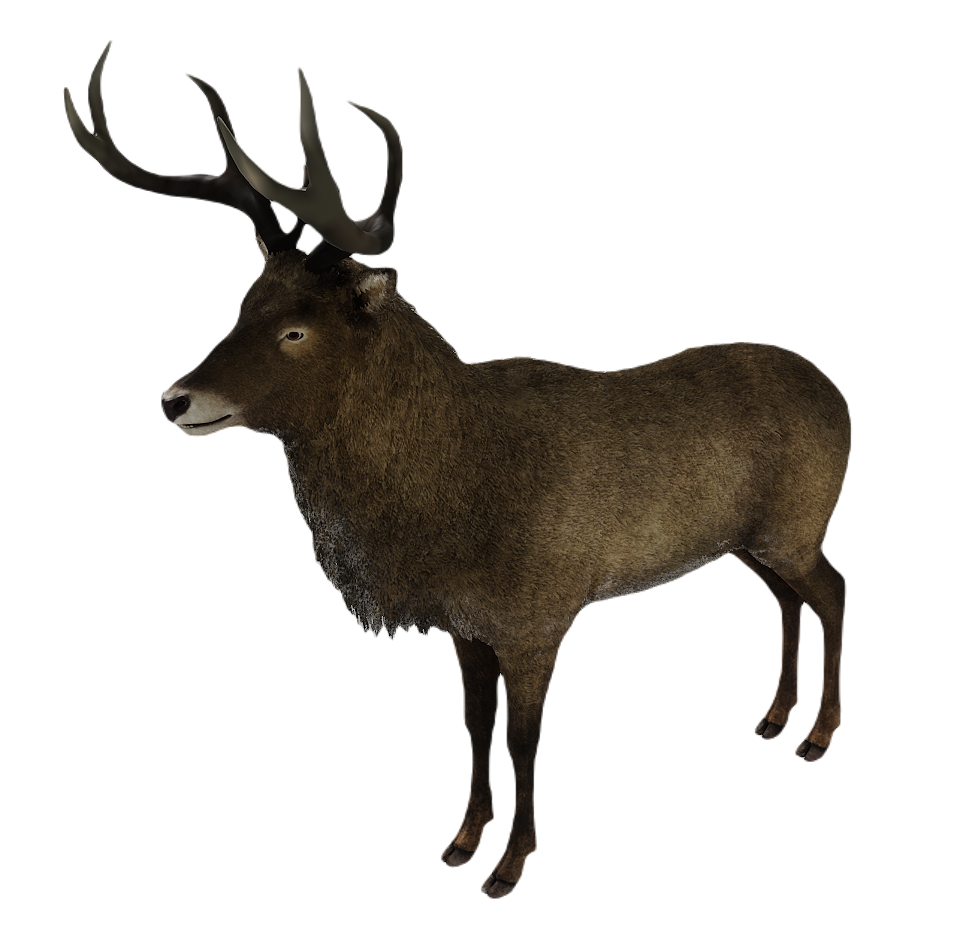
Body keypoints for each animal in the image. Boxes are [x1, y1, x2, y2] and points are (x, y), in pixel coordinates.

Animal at [65, 42, 850, 899]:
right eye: (241, 307)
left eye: (296, 331)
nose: (175, 399)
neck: (454, 502)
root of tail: (840, 397)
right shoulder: (466, 623)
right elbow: (473, 728)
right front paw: (460, 841)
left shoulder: (540, 613)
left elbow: (522, 739)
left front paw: (508, 866)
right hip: (747, 541)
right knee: (787, 599)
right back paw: (773, 717)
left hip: (799, 524)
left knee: (834, 589)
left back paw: (817, 734)